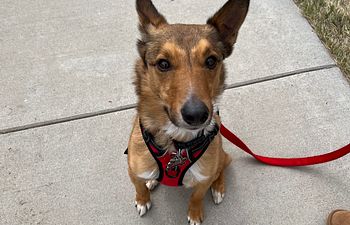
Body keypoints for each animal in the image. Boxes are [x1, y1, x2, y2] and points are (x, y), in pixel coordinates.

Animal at [126, 0, 249, 224]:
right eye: (163, 64)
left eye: (211, 61)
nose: (197, 115)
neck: (177, 143)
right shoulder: (133, 169)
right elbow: (139, 186)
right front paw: (143, 199)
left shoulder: (203, 179)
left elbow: (196, 196)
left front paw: (195, 213)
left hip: (222, 156)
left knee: (221, 169)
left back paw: (218, 188)